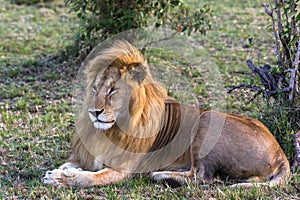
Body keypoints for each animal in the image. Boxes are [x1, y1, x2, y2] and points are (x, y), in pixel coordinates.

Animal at [42, 40, 290, 188]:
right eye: (95, 89)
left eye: (112, 90)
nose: (94, 112)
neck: (110, 130)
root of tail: (280, 152)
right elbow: (72, 164)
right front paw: (61, 170)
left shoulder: (123, 169)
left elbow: (88, 178)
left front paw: (58, 178)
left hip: (206, 120)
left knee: (201, 176)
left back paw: (160, 175)